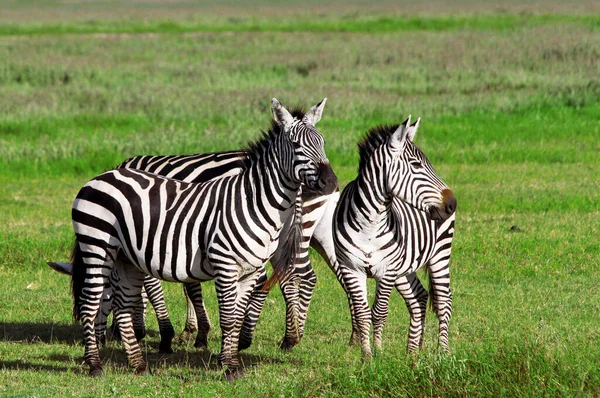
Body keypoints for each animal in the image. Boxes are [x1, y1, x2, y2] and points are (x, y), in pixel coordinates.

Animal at [68, 98, 338, 378]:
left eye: (322, 142)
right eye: (296, 145)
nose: (330, 182)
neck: (253, 201)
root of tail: (102, 176)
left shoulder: (249, 271)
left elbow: (234, 317)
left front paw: (227, 358)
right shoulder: (224, 265)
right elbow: (227, 318)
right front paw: (228, 365)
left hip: (124, 257)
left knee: (122, 306)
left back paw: (137, 365)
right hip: (98, 247)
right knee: (89, 302)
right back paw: (95, 365)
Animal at [332, 116, 460, 360]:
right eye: (417, 165)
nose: (452, 203)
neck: (369, 225)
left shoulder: (386, 270)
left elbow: (380, 312)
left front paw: (379, 351)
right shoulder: (351, 268)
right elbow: (362, 313)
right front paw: (367, 355)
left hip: (439, 254)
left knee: (444, 300)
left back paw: (443, 351)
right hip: (404, 268)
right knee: (419, 297)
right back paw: (413, 350)